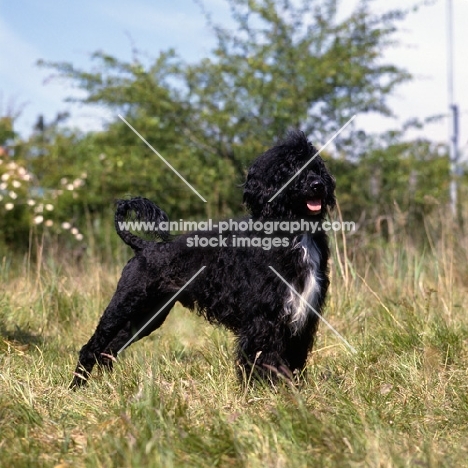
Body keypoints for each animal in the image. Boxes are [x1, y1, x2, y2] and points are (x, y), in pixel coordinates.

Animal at [68, 131, 336, 388]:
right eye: (292, 167)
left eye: (316, 167)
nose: (318, 185)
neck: (294, 233)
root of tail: (144, 247)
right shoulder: (264, 317)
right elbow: (263, 358)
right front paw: (264, 391)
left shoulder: (302, 319)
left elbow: (293, 359)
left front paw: (293, 390)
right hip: (124, 304)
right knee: (91, 348)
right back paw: (76, 388)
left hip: (148, 314)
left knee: (108, 351)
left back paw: (109, 387)